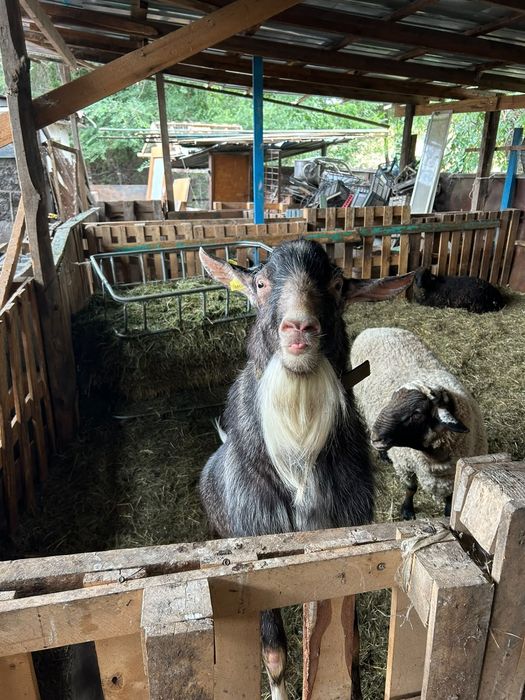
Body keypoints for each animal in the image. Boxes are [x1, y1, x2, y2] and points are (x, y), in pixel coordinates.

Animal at [198, 240, 414, 699]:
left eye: (336, 284)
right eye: (261, 284)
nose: (299, 328)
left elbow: (345, 640)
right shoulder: (254, 547)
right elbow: (274, 651)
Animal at [351, 327, 488, 519]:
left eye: (416, 414)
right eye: (392, 399)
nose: (375, 438)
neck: (435, 458)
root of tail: (375, 329)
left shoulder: (454, 474)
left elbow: (451, 498)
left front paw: (448, 513)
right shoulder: (406, 465)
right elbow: (411, 488)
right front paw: (407, 510)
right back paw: (384, 455)